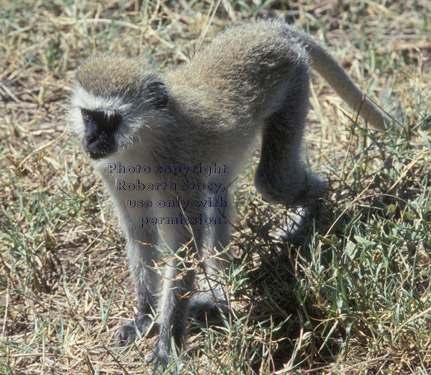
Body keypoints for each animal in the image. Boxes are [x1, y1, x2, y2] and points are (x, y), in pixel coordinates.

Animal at [70, 19, 392, 368]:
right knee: (217, 192)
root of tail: (268, 28)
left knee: (272, 181)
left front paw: (168, 343)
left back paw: (319, 210)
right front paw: (145, 316)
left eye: (108, 119)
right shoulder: (111, 170)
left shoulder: (176, 172)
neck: (141, 141)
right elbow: (140, 233)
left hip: (294, 83)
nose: (89, 141)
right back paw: (219, 295)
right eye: (87, 116)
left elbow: (183, 245)